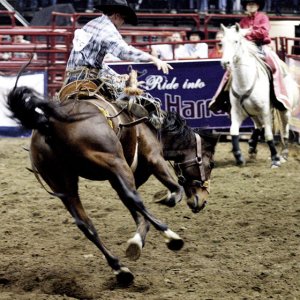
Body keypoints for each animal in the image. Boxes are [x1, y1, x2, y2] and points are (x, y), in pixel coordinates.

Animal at [220, 23, 300, 168]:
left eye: (236, 41)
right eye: (221, 43)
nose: (225, 62)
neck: (245, 82)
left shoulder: (265, 111)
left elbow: (268, 135)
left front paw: (275, 159)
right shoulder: (237, 112)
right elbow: (233, 131)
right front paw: (239, 157)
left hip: (284, 110)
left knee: (284, 129)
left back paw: (283, 154)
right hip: (253, 112)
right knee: (258, 126)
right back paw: (252, 146)